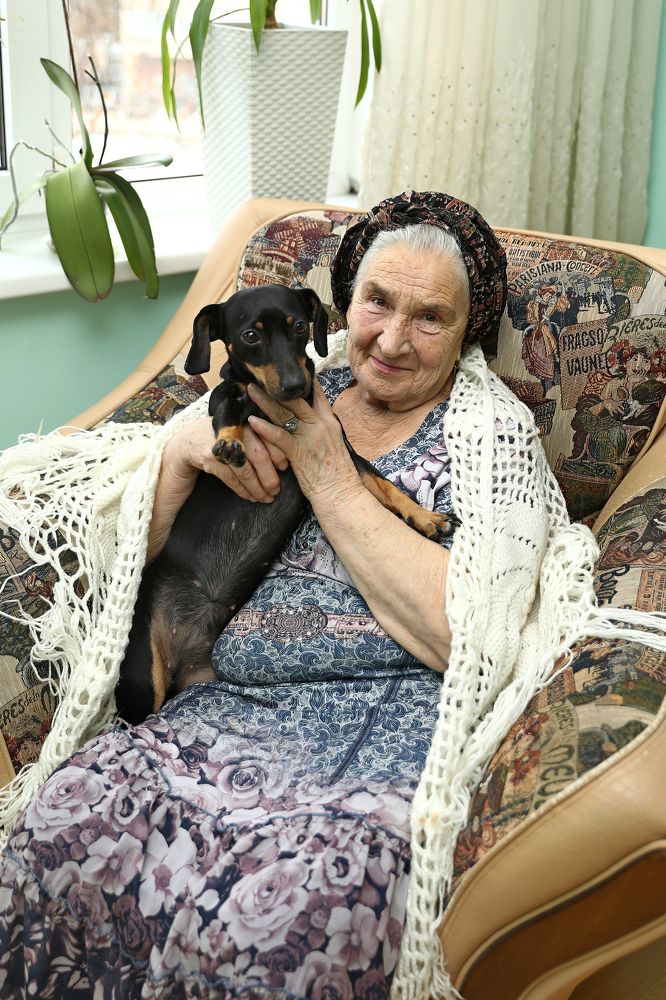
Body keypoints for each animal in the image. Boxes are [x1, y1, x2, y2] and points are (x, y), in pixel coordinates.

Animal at [115, 284, 457, 724]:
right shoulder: (227, 398)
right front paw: (231, 443)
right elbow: (229, 409)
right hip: (144, 681)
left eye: (298, 327)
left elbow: (385, 486)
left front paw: (426, 518)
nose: (296, 385)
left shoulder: (344, 455)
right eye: (250, 336)